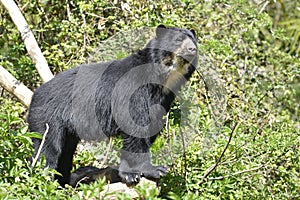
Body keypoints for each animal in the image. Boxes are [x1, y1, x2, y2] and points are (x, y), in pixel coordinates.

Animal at [27, 24, 197, 186]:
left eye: (194, 41)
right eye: (178, 40)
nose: (192, 49)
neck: (164, 76)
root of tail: (35, 94)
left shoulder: (164, 98)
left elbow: (151, 126)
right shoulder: (133, 89)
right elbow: (136, 125)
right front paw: (149, 171)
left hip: (68, 129)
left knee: (65, 153)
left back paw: (63, 182)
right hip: (48, 117)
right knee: (48, 148)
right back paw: (44, 180)